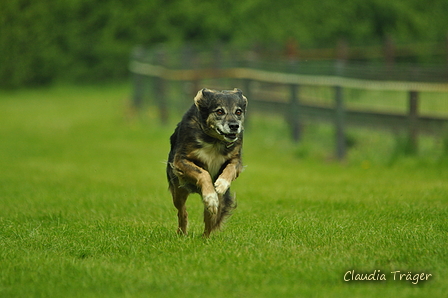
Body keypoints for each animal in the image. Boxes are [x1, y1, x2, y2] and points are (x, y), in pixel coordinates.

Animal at [167, 87, 247, 236]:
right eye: (219, 111)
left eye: (238, 112)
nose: (234, 126)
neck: (214, 140)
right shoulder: (181, 160)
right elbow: (203, 173)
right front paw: (210, 196)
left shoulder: (236, 159)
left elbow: (231, 168)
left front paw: (221, 184)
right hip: (178, 190)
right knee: (182, 212)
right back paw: (182, 232)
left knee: (210, 217)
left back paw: (205, 237)